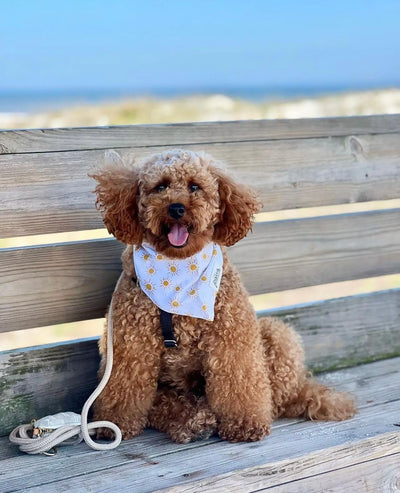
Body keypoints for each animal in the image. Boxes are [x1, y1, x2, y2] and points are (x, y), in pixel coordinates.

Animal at [91, 149, 356, 442]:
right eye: (161, 186)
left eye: (195, 186)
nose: (176, 208)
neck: (178, 272)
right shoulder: (130, 343)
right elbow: (124, 385)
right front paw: (113, 423)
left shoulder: (232, 335)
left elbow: (239, 381)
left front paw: (245, 424)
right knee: (165, 403)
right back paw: (193, 421)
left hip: (275, 334)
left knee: (277, 398)